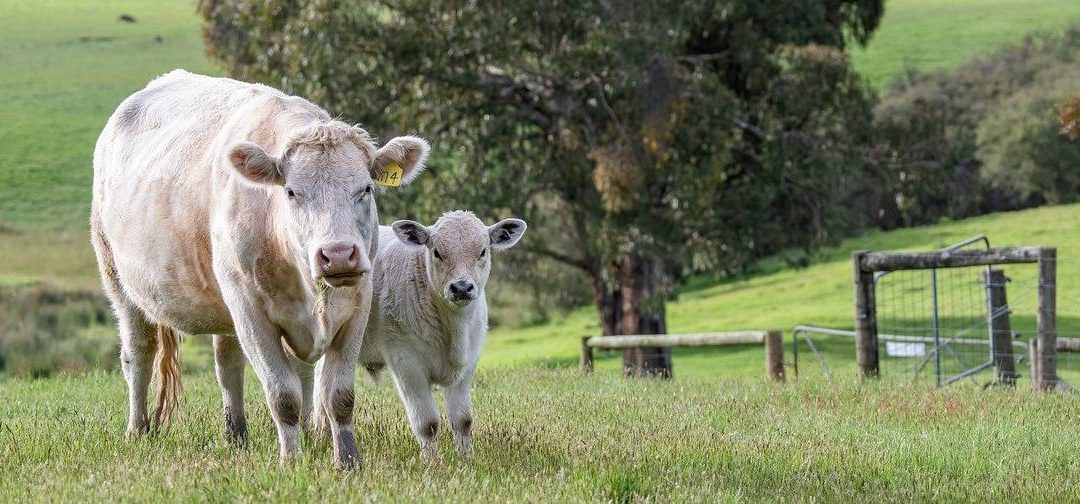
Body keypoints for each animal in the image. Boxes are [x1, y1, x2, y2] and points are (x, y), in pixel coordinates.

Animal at [356, 211, 529, 459]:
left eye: (483, 251)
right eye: (436, 251)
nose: (462, 287)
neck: (453, 331)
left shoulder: (468, 363)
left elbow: (463, 420)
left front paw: (467, 459)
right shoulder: (406, 363)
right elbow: (426, 423)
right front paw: (432, 462)